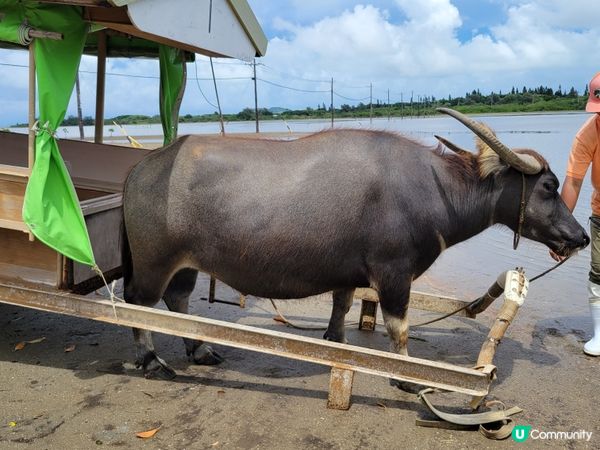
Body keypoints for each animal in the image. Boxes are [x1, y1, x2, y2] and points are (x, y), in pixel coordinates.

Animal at [120, 106, 584, 384]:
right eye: (548, 186)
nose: (580, 236)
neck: (433, 189)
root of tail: (144, 166)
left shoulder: (346, 272)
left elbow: (341, 307)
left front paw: (336, 342)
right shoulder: (395, 274)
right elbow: (399, 327)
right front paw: (404, 377)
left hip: (186, 262)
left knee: (178, 300)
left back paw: (199, 349)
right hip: (153, 263)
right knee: (139, 303)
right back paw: (151, 360)